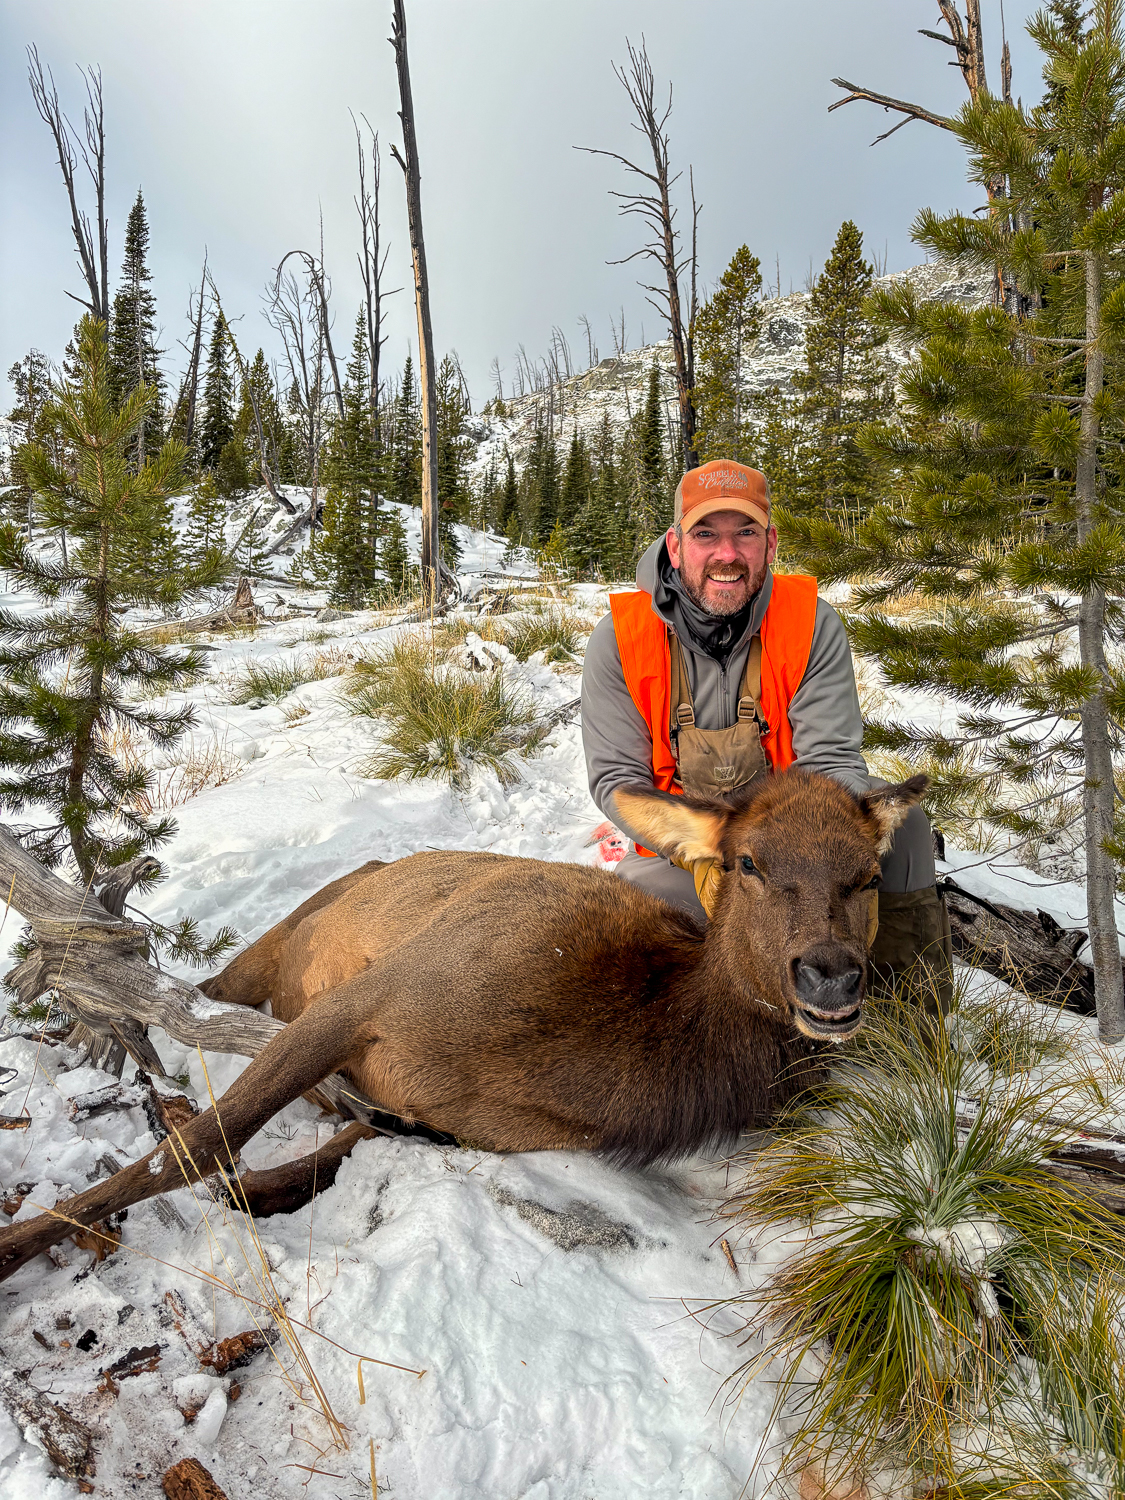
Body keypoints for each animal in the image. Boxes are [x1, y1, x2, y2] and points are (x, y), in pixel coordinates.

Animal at [0, 774, 924, 1278]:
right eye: (747, 861)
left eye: (867, 874)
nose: (831, 974)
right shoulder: (370, 998)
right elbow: (193, 1154)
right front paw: (24, 1241)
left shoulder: (426, 1117)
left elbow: (270, 1174)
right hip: (281, 941)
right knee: (185, 988)